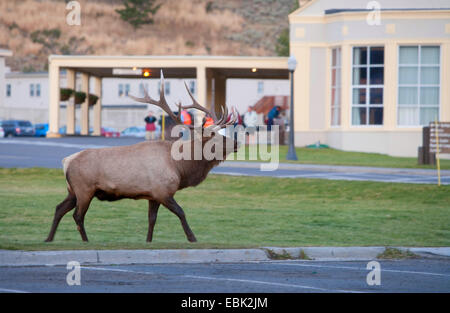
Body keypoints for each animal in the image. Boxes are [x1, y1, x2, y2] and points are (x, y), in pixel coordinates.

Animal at [44, 72, 237, 243]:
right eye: (215, 138)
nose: (236, 142)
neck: (180, 167)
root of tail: (66, 162)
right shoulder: (163, 191)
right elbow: (181, 212)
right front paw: (192, 238)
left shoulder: (153, 195)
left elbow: (152, 219)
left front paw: (148, 241)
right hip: (84, 189)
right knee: (77, 215)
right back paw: (85, 240)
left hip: (72, 190)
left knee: (59, 208)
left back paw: (48, 238)